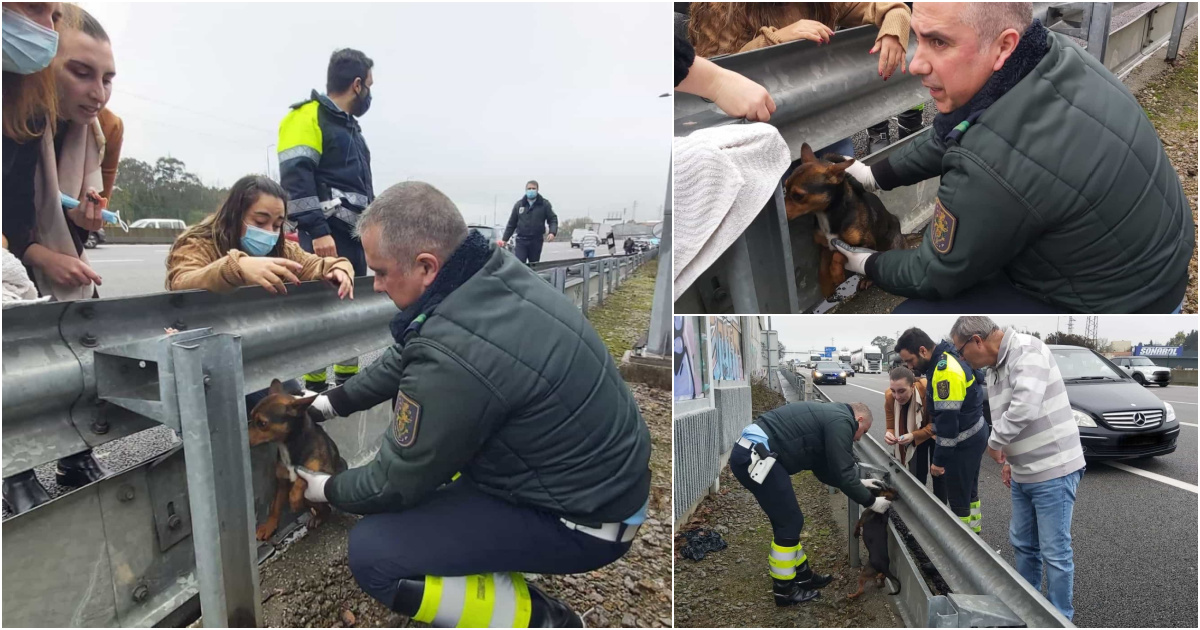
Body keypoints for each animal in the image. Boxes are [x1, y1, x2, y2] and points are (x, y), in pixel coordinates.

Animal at [248, 379, 348, 540]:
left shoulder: (319, 470)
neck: (288, 444)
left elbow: (301, 479)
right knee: (324, 509)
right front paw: (269, 526)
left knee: (326, 506)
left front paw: (294, 500)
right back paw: (317, 516)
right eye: (250, 417)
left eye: (262, 423)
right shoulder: (282, 484)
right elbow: (275, 507)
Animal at [782, 143, 902, 298]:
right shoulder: (824, 246)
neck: (826, 214)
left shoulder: (865, 244)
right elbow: (822, 267)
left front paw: (836, 274)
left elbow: (839, 255)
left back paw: (867, 280)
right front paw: (827, 286)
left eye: (798, 196)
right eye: (785, 187)